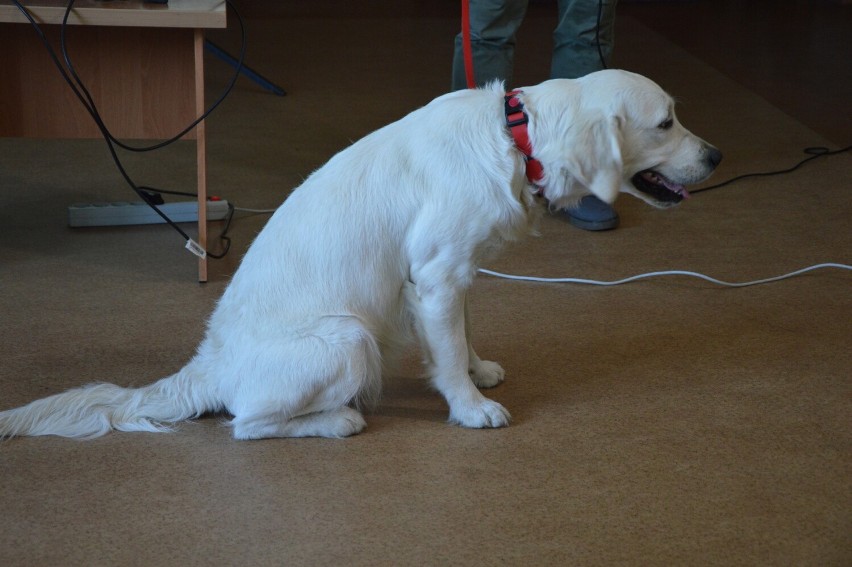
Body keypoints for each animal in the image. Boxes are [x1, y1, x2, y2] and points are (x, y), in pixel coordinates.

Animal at [0, 70, 720, 440]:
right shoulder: (436, 274)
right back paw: (337, 419)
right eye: (665, 123)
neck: (515, 138)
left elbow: (461, 337)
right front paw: (469, 407)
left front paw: (480, 370)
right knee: (247, 422)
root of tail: (207, 365)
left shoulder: (452, 278)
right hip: (347, 336)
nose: (716, 155)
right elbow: (447, 354)